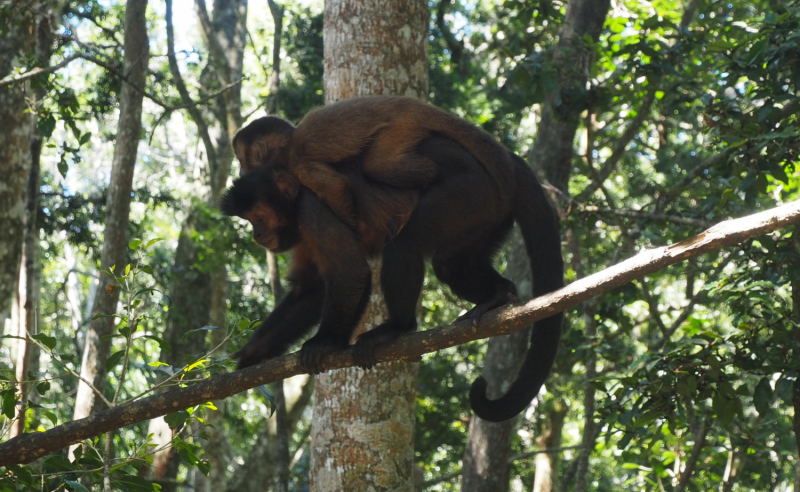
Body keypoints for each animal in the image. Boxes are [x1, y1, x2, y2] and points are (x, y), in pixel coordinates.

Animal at [222, 128, 564, 422]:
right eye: (251, 220)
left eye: (259, 216)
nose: (257, 234)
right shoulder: (301, 232)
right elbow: (311, 290)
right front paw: (251, 355)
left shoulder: (311, 209)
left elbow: (352, 273)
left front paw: (325, 343)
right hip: (490, 216)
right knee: (451, 264)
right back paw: (499, 293)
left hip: (472, 195)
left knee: (407, 243)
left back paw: (398, 327)